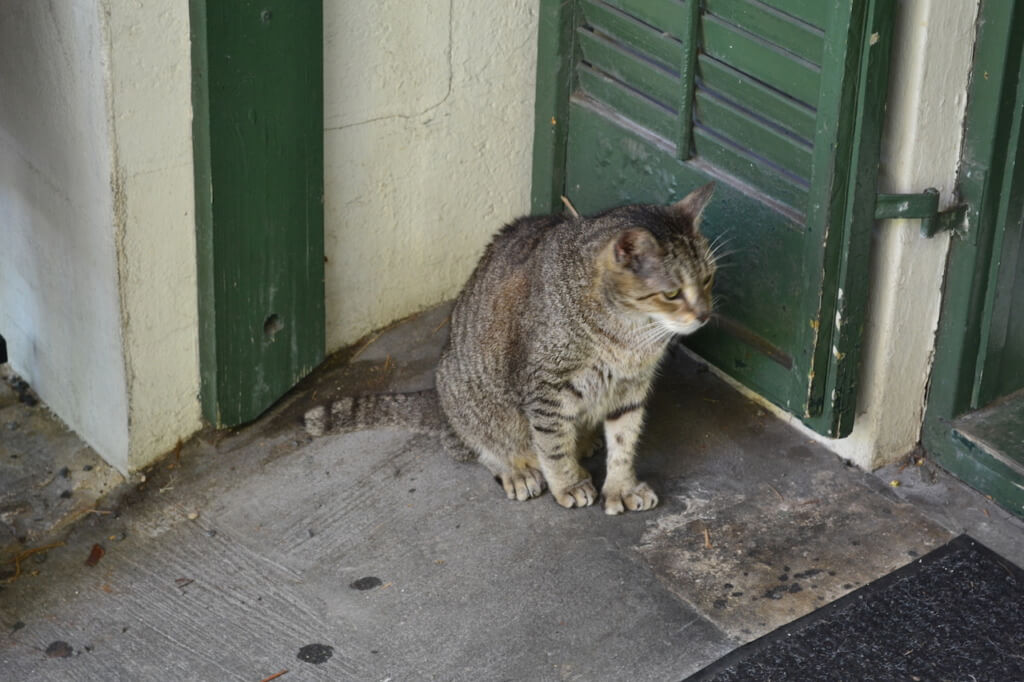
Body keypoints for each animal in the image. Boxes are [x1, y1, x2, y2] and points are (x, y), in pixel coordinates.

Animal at [307, 183, 716, 512]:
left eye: (709, 279)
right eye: (672, 294)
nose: (705, 315)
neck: (630, 333)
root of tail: (439, 400)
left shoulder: (631, 387)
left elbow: (624, 441)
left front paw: (621, 487)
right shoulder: (546, 388)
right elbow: (552, 444)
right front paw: (568, 483)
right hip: (469, 399)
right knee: (476, 444)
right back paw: (516, 469)